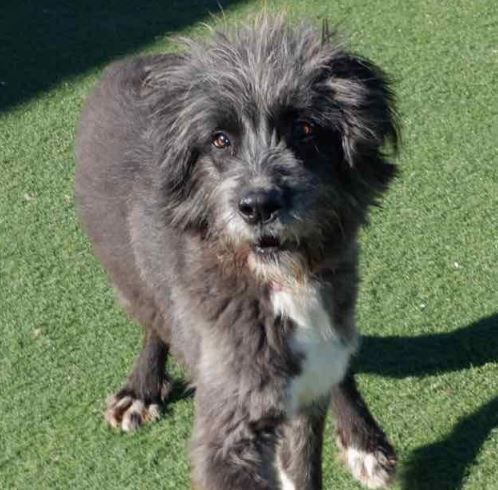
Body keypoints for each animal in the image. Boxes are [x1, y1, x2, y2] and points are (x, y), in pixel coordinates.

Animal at [74, 15, 398, 490]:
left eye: (304, 129)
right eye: (220, 140)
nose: (259, 206)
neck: (279, 281)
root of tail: (129, 61)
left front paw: (358, 435)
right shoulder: (232, 424)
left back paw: (363, 439)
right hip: (128, 273)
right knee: (154, 320)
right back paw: (142, 387)